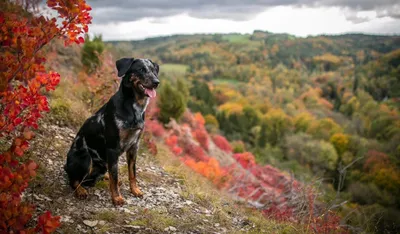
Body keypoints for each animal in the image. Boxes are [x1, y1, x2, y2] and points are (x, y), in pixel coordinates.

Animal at [64, 57, 159, 206]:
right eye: (141, 69)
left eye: (154, 70)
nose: (156, 82)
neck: (135, 108)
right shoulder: (113, 148)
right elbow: (115, 176)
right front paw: (116, 198)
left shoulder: (134, 147)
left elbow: (132, 173)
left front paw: (135, 190)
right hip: (85, 158)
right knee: (74, 179)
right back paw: (80, 190)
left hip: (102, 164)